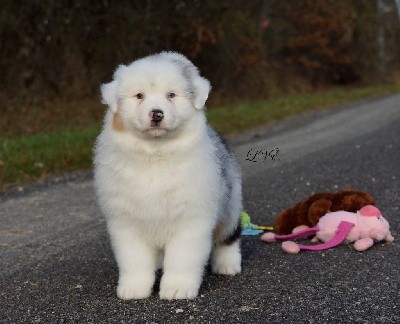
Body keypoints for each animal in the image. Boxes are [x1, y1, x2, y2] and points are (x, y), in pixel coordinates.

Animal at [95, 52, 242, 300]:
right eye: (139, 96)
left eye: (171, 95)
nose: (157, 114)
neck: (156, 154)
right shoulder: (126, 220)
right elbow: (134, 259)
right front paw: (134, 288)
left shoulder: (191, 218)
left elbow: (182, 258)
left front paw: (177, 288)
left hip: (229, 204)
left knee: (228, 235)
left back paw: (227, 264)